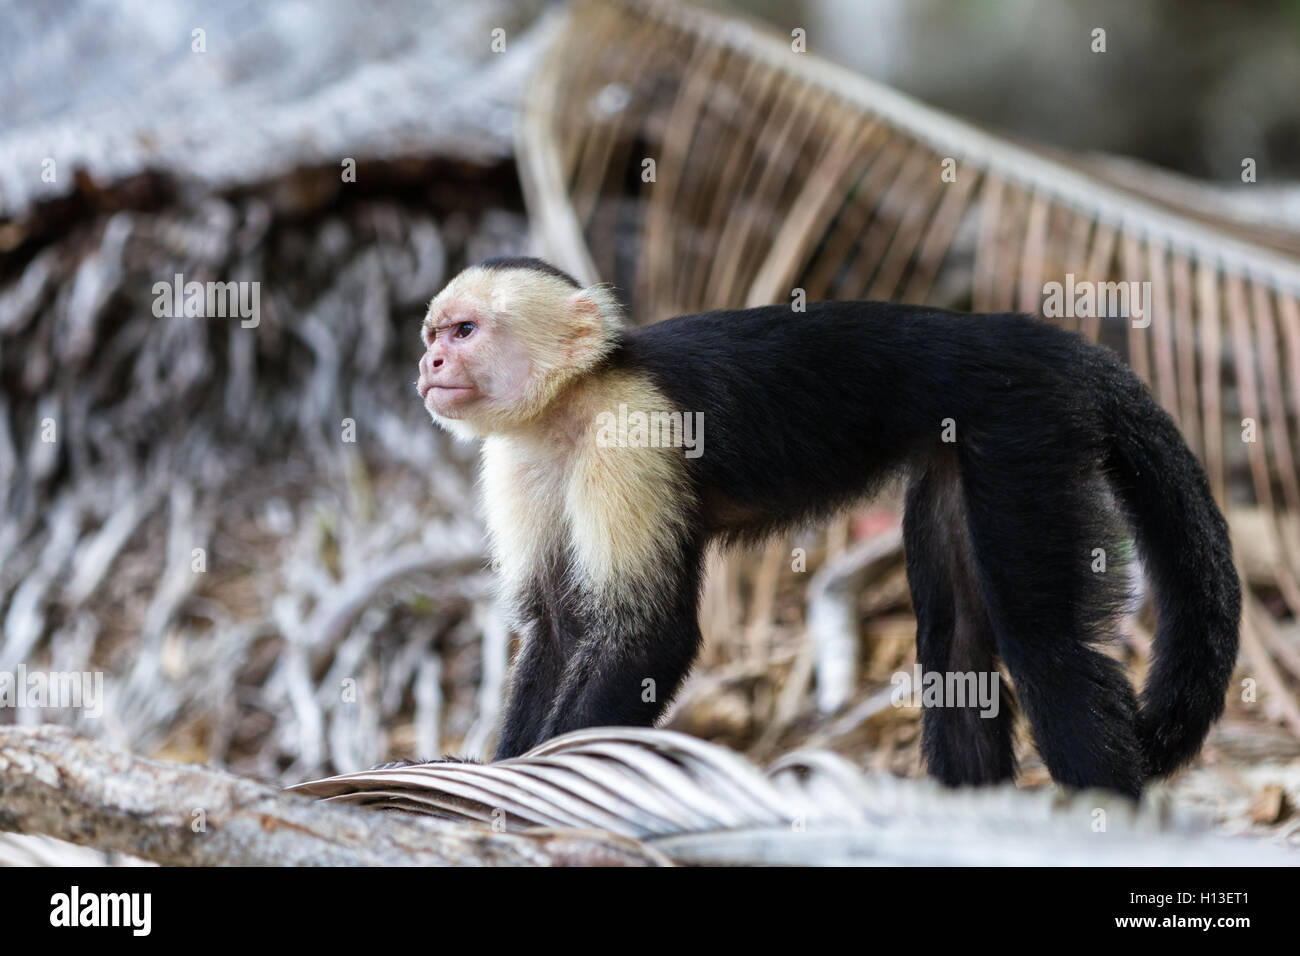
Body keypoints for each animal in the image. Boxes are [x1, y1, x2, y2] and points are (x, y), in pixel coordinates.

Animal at [415, 255, 1240, 797]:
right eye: (434, 333)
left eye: (465, 330)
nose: (427, 366)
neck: (572, 402)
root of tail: (1028, 338)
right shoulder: (517, 460)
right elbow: (555, 629)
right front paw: (499, 773)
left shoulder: (632, 431)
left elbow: (645, 636)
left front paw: (537, 776)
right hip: (962, 447)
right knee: (957, 647)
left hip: (1026, 427)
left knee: (1046, 648)